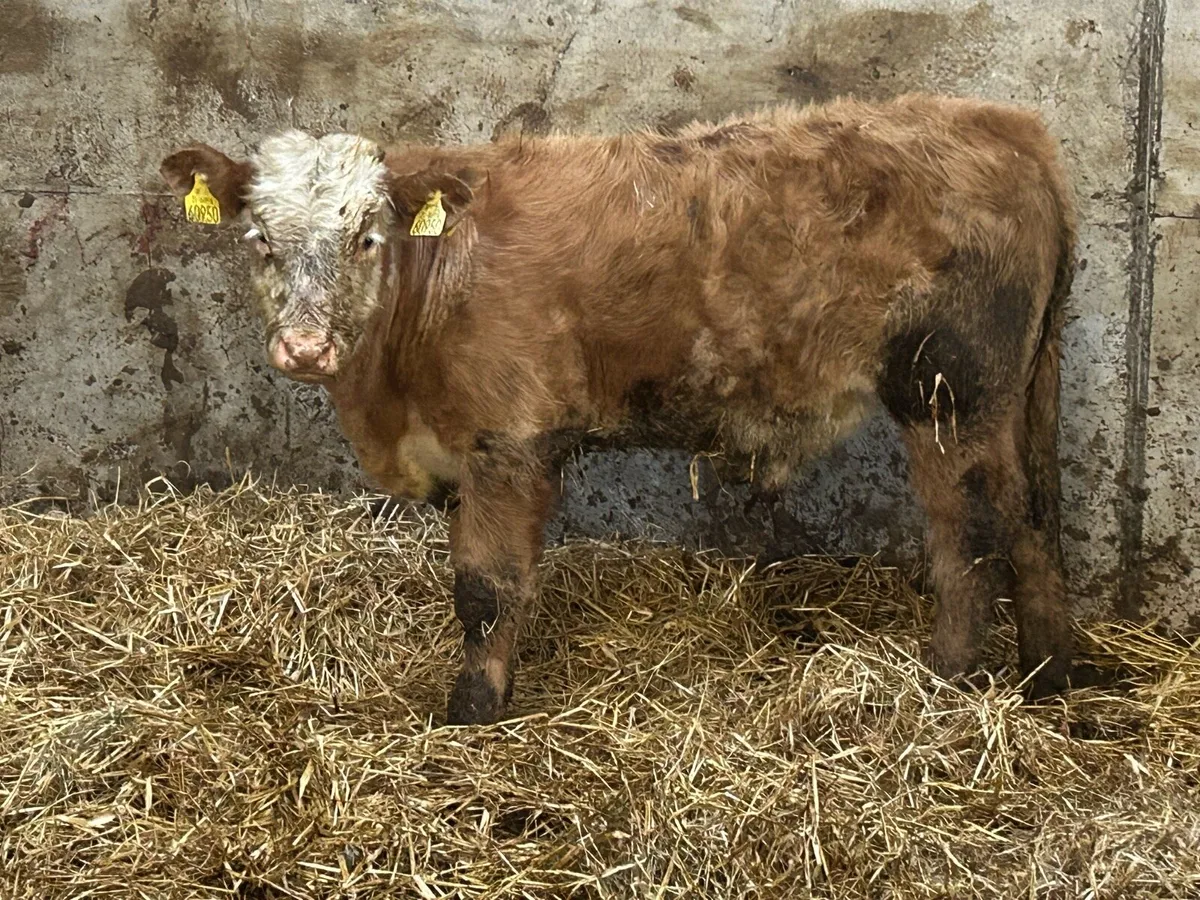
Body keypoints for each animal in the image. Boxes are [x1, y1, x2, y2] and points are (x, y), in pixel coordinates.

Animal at [160, 93, 1078, 725]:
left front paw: (471, 715)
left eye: (366, 238)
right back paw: (1051, 680)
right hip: (1014, 395)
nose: (305, 348)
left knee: (971, 535)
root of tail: (1002, 122)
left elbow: (486, 588)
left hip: (948, 393)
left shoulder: (509, 444)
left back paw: (947, 680)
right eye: (259, 241)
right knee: (1033, 518)